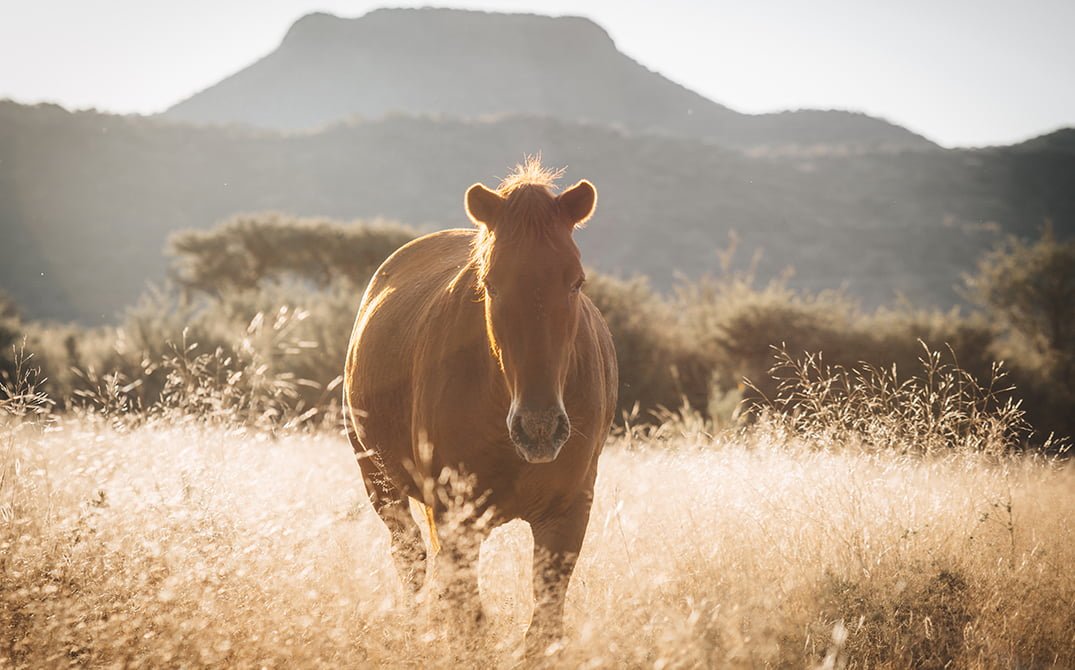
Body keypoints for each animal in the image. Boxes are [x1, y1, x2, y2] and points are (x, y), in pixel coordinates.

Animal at [339, 160, 619, 649]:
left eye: (576, 282)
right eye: (490, 283)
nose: (539, 427)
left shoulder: (567, 516)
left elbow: (544, 628)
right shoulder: (456, 515)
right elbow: (469, 621)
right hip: (379, 480)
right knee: (410, 557)